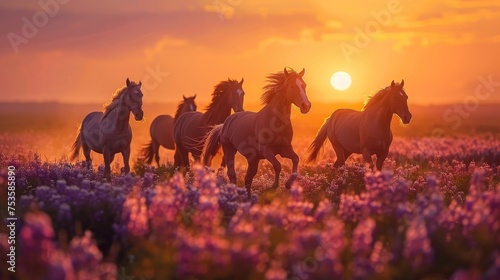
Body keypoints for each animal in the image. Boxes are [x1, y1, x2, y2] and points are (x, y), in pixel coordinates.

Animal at [201, 68, 310, 198]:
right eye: (291, 86)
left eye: (304, 85)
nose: (306, 106)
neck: (276, 122)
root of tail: (224, 124)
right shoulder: (266, 150)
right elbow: (277, 165)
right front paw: (273, 187)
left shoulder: (285, 149)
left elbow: (296, 159)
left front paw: (288, 184)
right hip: (229, 150)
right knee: (233, 175)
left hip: (253, 159)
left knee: (248, 178)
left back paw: (247, 198)